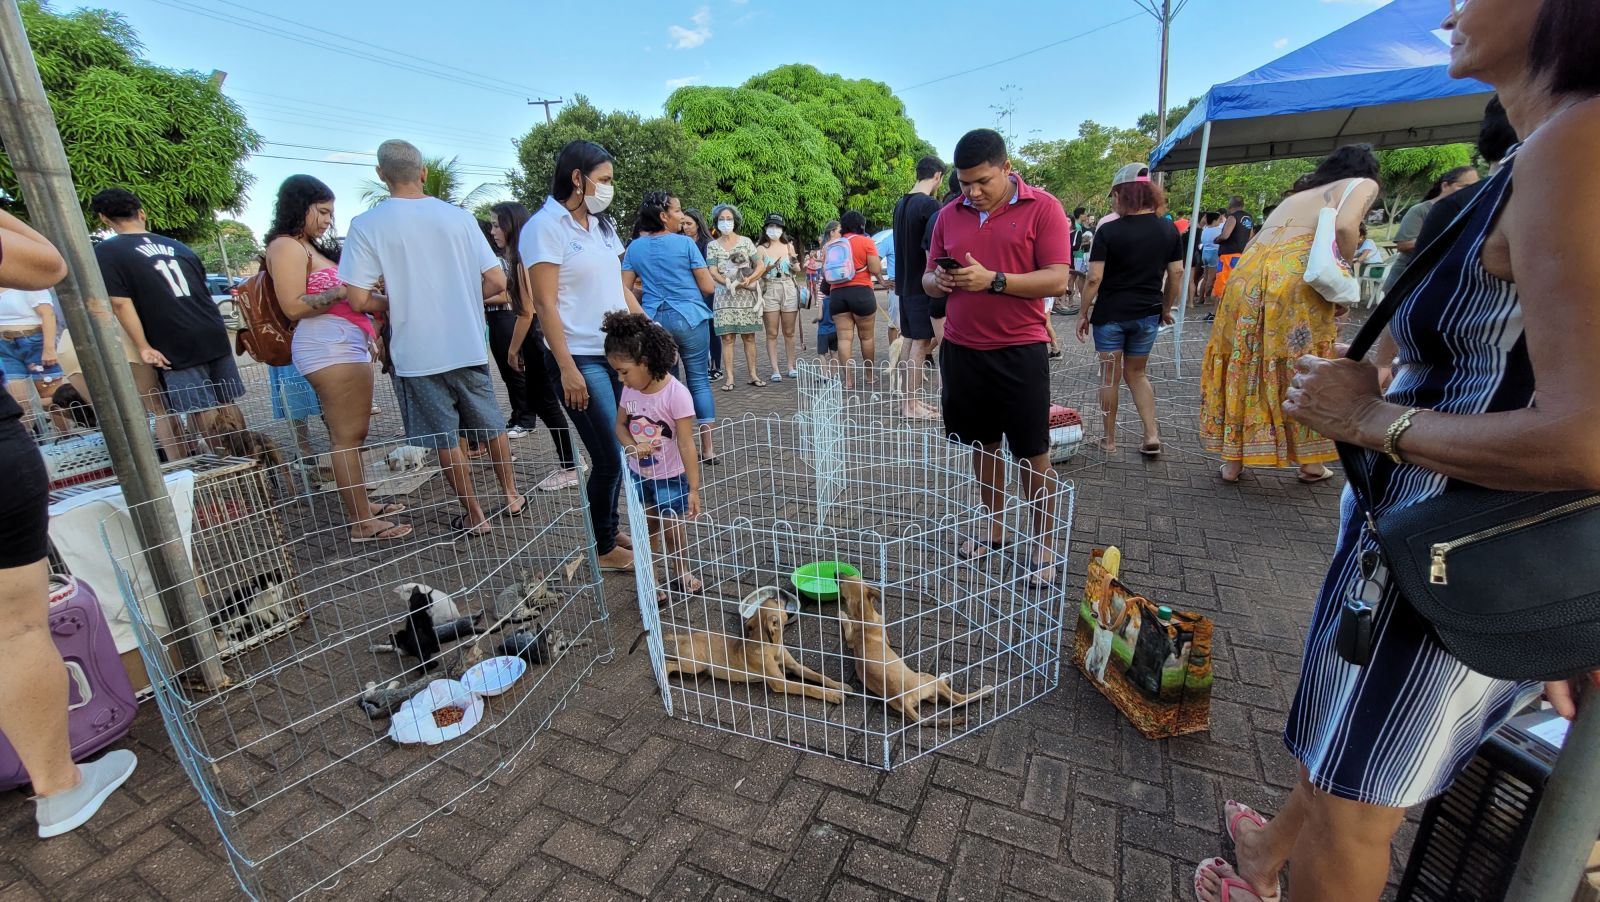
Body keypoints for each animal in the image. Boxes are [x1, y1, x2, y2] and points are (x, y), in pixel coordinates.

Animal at [601, 313, 700, 601]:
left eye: (622, 370)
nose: (621, 381)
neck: (652, 387)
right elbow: (620, 425)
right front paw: (638, 448)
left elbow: (687, 445)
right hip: (643, 496)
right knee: (652, 529)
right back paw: (655, 589)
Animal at [646, 598, 857, 703]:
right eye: (777, 602)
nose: (778, 594)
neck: (771, 646)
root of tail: (683, 636)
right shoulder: (780, 682)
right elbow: (809, 687)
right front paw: (833, 696)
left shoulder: (795, 667)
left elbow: (819, 676)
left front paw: (840, 686)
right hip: (695, 665)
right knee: (668, 663)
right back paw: (664, 680)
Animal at [832, 578, 992, 726]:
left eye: (849, 578)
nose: (836, 574)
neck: (864, 618)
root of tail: (902, 700)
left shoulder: (851, 640)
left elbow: (848, 626)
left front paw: (842, 614)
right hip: (927, 679)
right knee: (958, 700)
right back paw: (981, 689)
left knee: (935, 699)